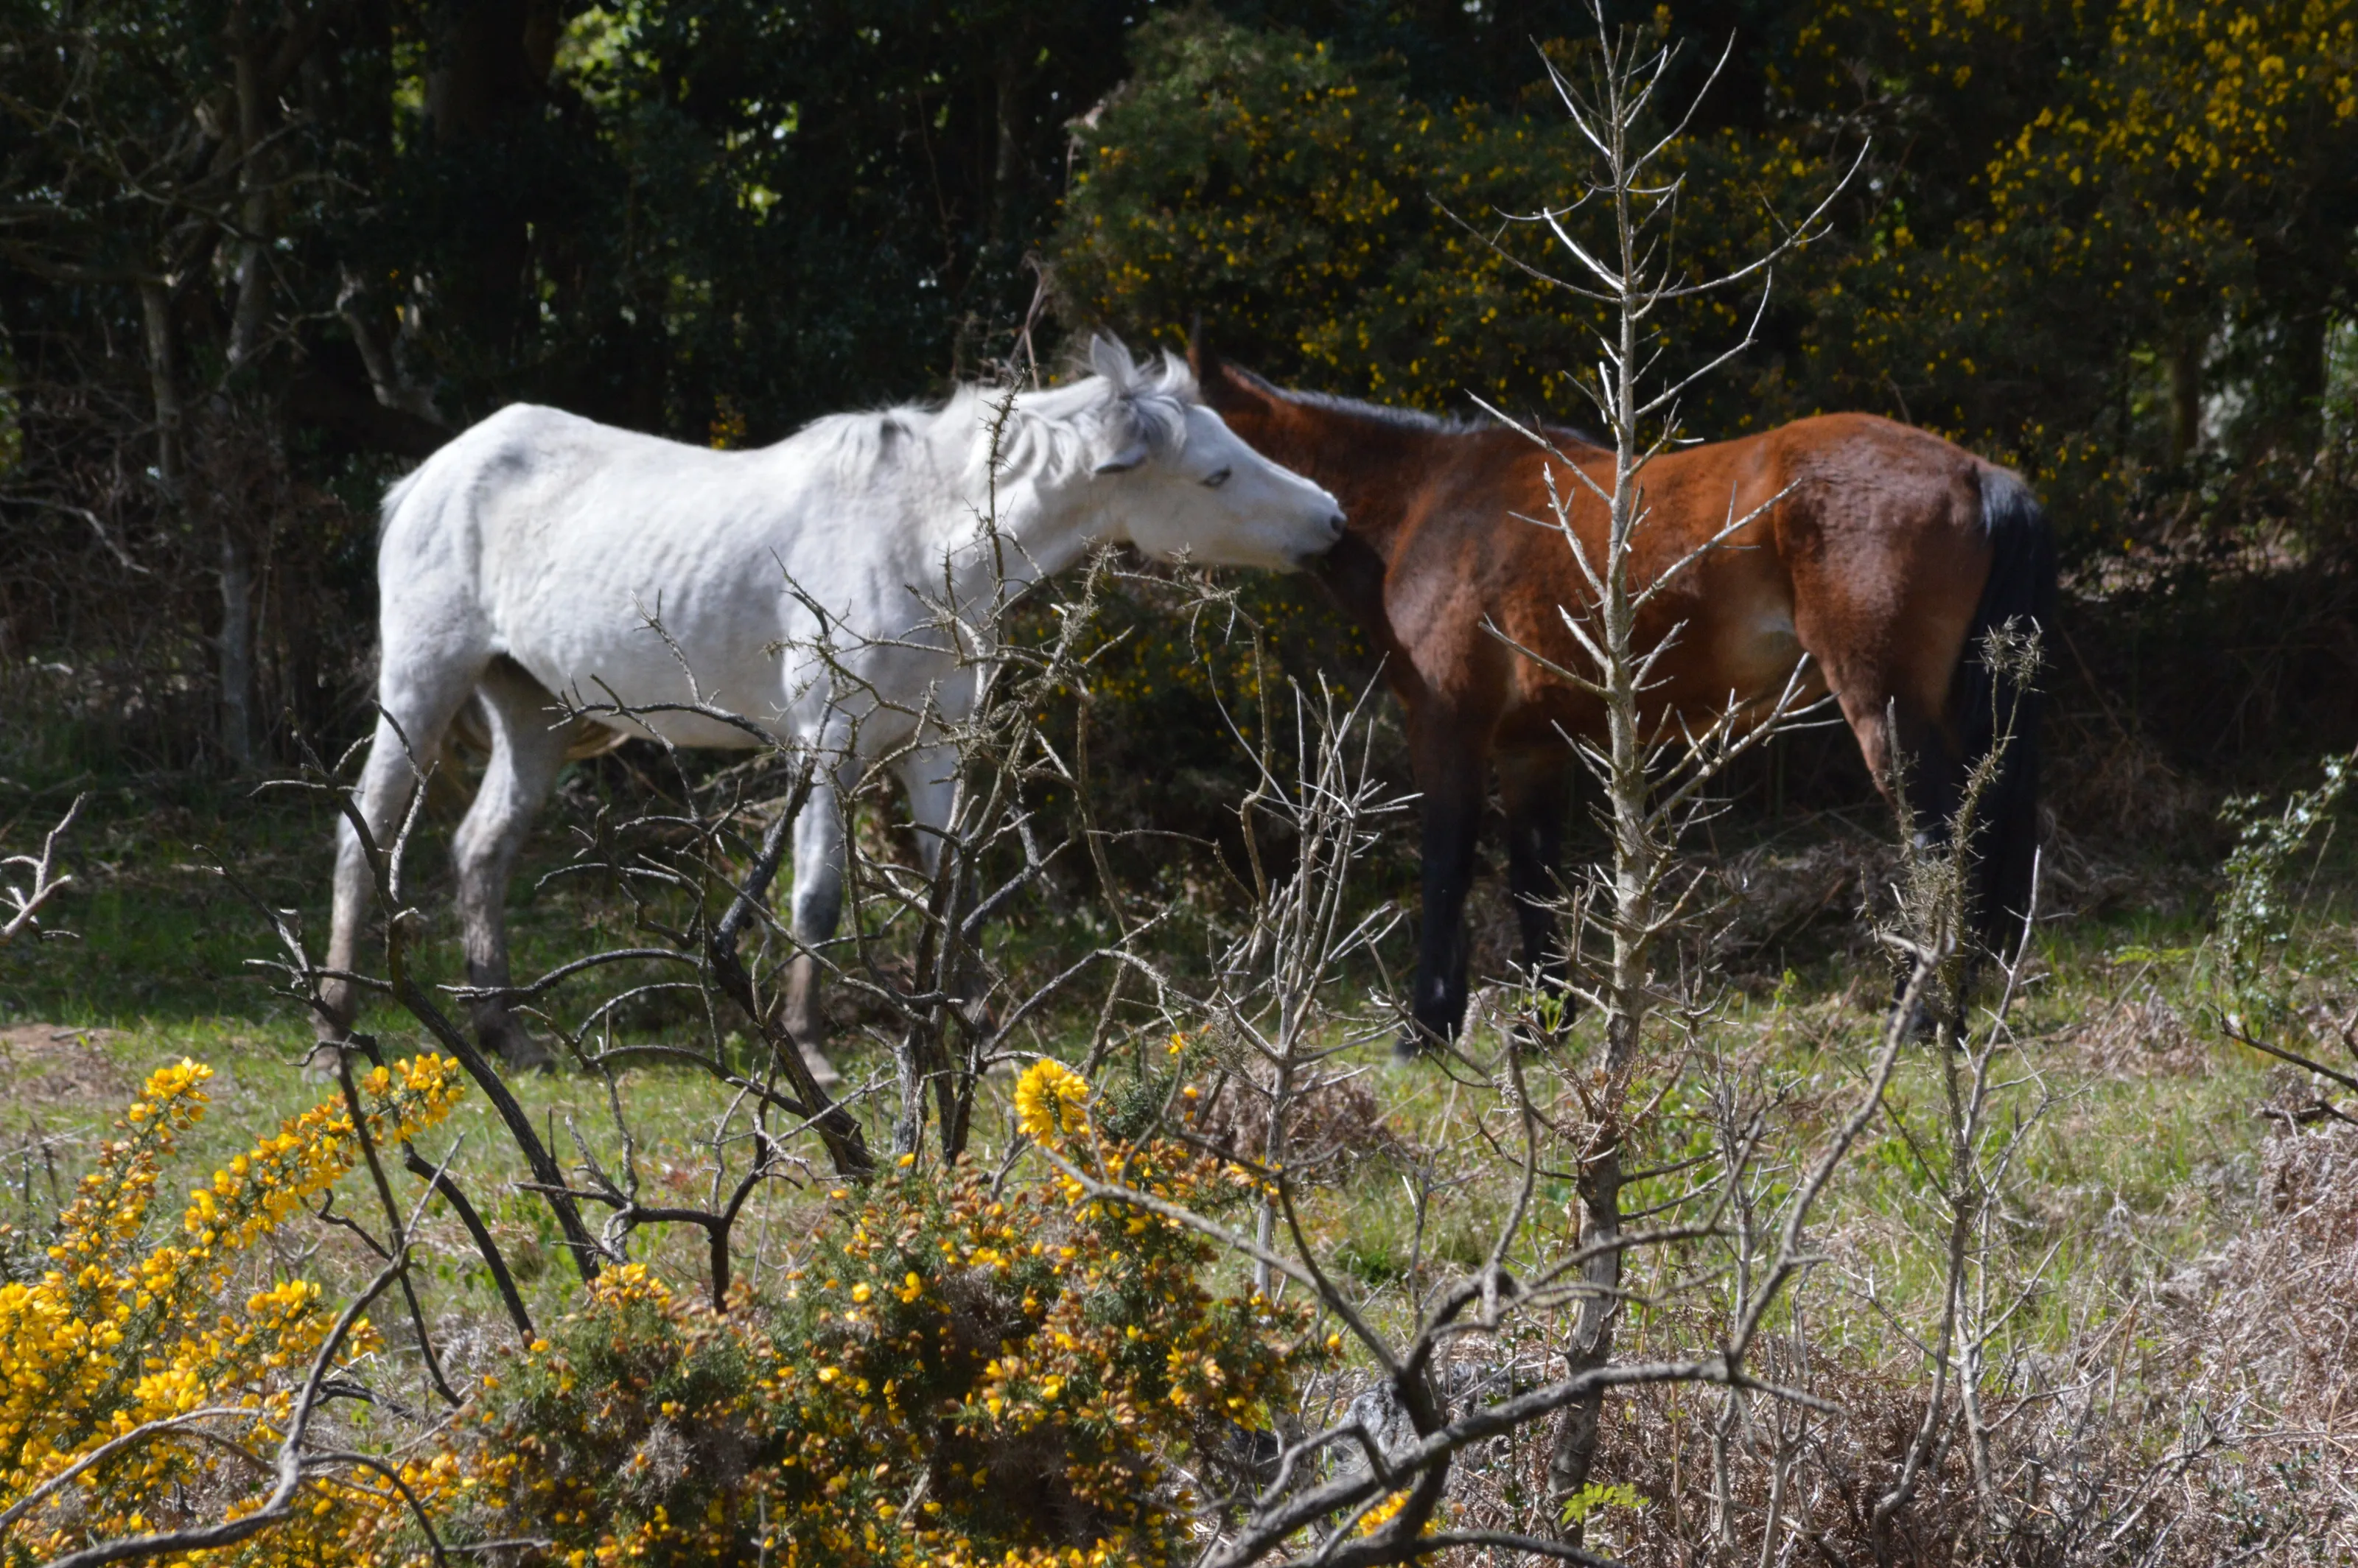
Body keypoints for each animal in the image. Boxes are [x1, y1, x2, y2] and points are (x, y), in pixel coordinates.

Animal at [319, 336, 1348, 1078]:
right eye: (1214, 475)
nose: (1333, 521)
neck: (921, 533)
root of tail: (432, 473)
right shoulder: (829, 740)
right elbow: (814, 895)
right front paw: (808, 1046)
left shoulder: (936, 746)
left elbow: (951, 885)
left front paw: (976, 1027)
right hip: (421, 685)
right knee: (363, 836)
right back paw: (334, 1031)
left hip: (535, 714)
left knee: (480, 852)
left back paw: (510, 1037)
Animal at [1188, 339, 2055, 1048]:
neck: (1431, 500)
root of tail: (1975, 473)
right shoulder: (1531, 748)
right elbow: (1532, 877)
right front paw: (1543, 1027)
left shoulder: (1448, 726)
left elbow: (1447, 866)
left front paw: (1427, 1026)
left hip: (1884, 708)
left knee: (1939, 842)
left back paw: (1922, 1018)